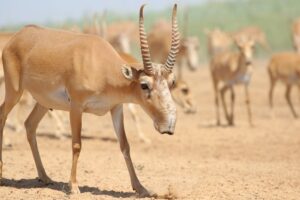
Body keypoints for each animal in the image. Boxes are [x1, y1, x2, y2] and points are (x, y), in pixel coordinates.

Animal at [0, 4, 180, 197]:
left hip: (44, 102)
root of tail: (18, 36)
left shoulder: (116, 108)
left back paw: (45, 177)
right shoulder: (76, 106)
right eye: (144, 84)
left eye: (172, 82)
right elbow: (76, 144)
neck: (100, 65)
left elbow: (125, 145)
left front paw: (141, 188)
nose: (168, 125)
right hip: (14, 91)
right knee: (3, 115)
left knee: (30, 125)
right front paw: (74, 186)